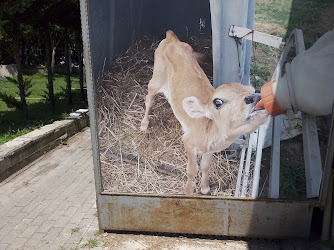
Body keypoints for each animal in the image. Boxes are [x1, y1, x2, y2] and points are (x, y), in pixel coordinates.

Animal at [140, 30, 268, 195]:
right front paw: (188, 191)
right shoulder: (188, 142)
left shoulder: (209, 150)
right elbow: (192, 169)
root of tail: (171, 38)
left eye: (254, 90)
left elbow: (205, 167)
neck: (212, 134)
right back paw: (144, 125)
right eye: (217, 102)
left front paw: (205, 188)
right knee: (149, 99)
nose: (255, 97)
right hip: (156, 78)